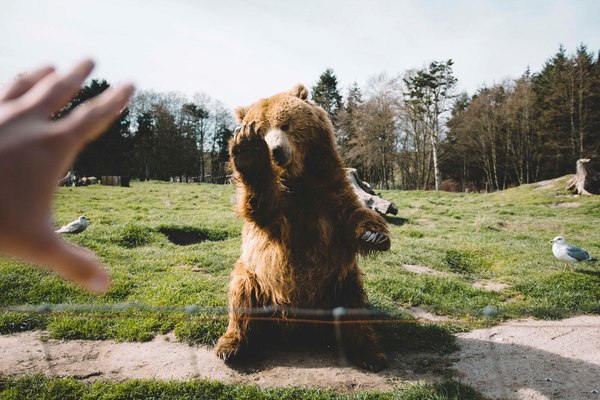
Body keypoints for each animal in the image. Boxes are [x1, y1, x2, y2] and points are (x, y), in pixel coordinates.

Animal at [214, 84, 390, 372]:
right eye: (261, 130)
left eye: (285, 124)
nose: (275, 151)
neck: (297, 176)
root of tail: (296, 325)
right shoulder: (282, 212)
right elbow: (263, 206)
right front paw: (248, 152)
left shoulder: (328, 189)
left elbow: (352, 216)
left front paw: (374, 235)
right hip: (256, 278)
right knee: (241, 295)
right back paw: (231, 346)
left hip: (338, 283)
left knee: (354, 308)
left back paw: (370, 353)